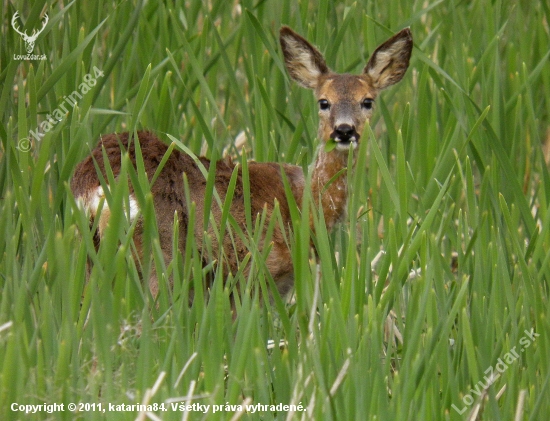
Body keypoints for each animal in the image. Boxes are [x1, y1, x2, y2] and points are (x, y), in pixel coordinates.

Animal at [70, 26, 414, 300]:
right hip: (166, 250)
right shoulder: (256, 272)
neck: (305, 203)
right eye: (323, 102)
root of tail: (93, 181)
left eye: (367, 101)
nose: (344, 131)